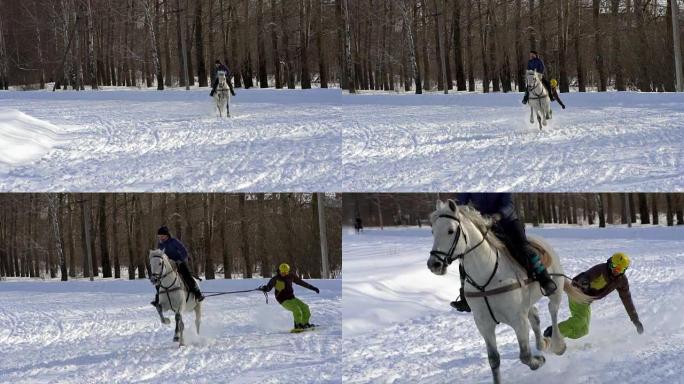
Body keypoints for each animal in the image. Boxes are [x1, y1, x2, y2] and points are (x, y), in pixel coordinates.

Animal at [424, 201, 592, 384]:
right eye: (432, 231)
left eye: (451, 230)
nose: (434, 264)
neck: (486, 277)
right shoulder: (484, 325)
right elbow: (494, 360)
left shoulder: (518, 320)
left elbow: (525, 356)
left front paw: (539, 360)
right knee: (535, 317)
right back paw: (542, 344)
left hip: (555, 292)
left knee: (552, 312)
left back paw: (557, 345)